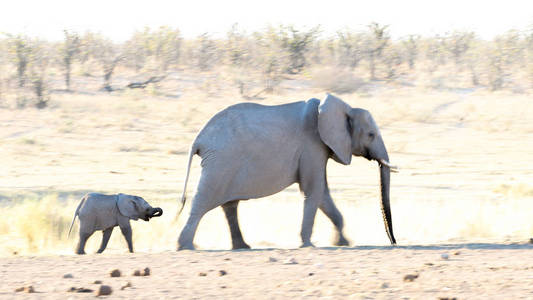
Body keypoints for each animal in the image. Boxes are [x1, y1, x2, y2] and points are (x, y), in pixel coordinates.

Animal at [177, 94, 396, 251]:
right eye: (371, 135)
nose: (393, 241)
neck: (342, 108)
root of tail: (198, 140)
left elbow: (323, 193)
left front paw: (343, 243)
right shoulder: (312, 145)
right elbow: (314, 190)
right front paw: (308, 245)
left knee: (230, 205)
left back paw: (242, 247)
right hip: (220, 164)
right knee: (203, 201)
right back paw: (186, 247)